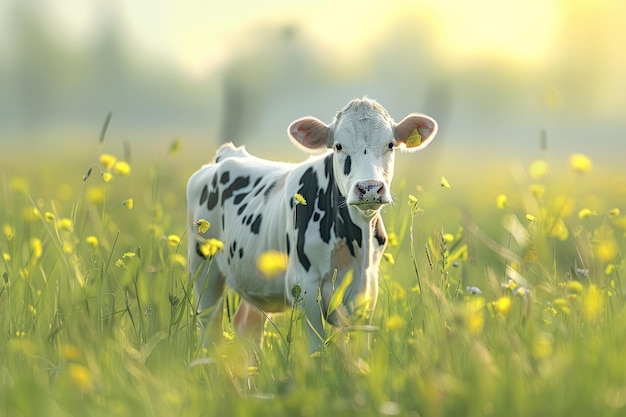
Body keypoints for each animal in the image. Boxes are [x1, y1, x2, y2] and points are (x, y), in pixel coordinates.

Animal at [186, 97, 434, 352]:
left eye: (391, 144)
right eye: (338, 146)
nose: (370, 188)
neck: (354, 245)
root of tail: (227, 155)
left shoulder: (366, 290)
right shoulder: (304, 286)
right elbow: (317, 348)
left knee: (248, 329)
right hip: (204, 269)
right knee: (210, 329)